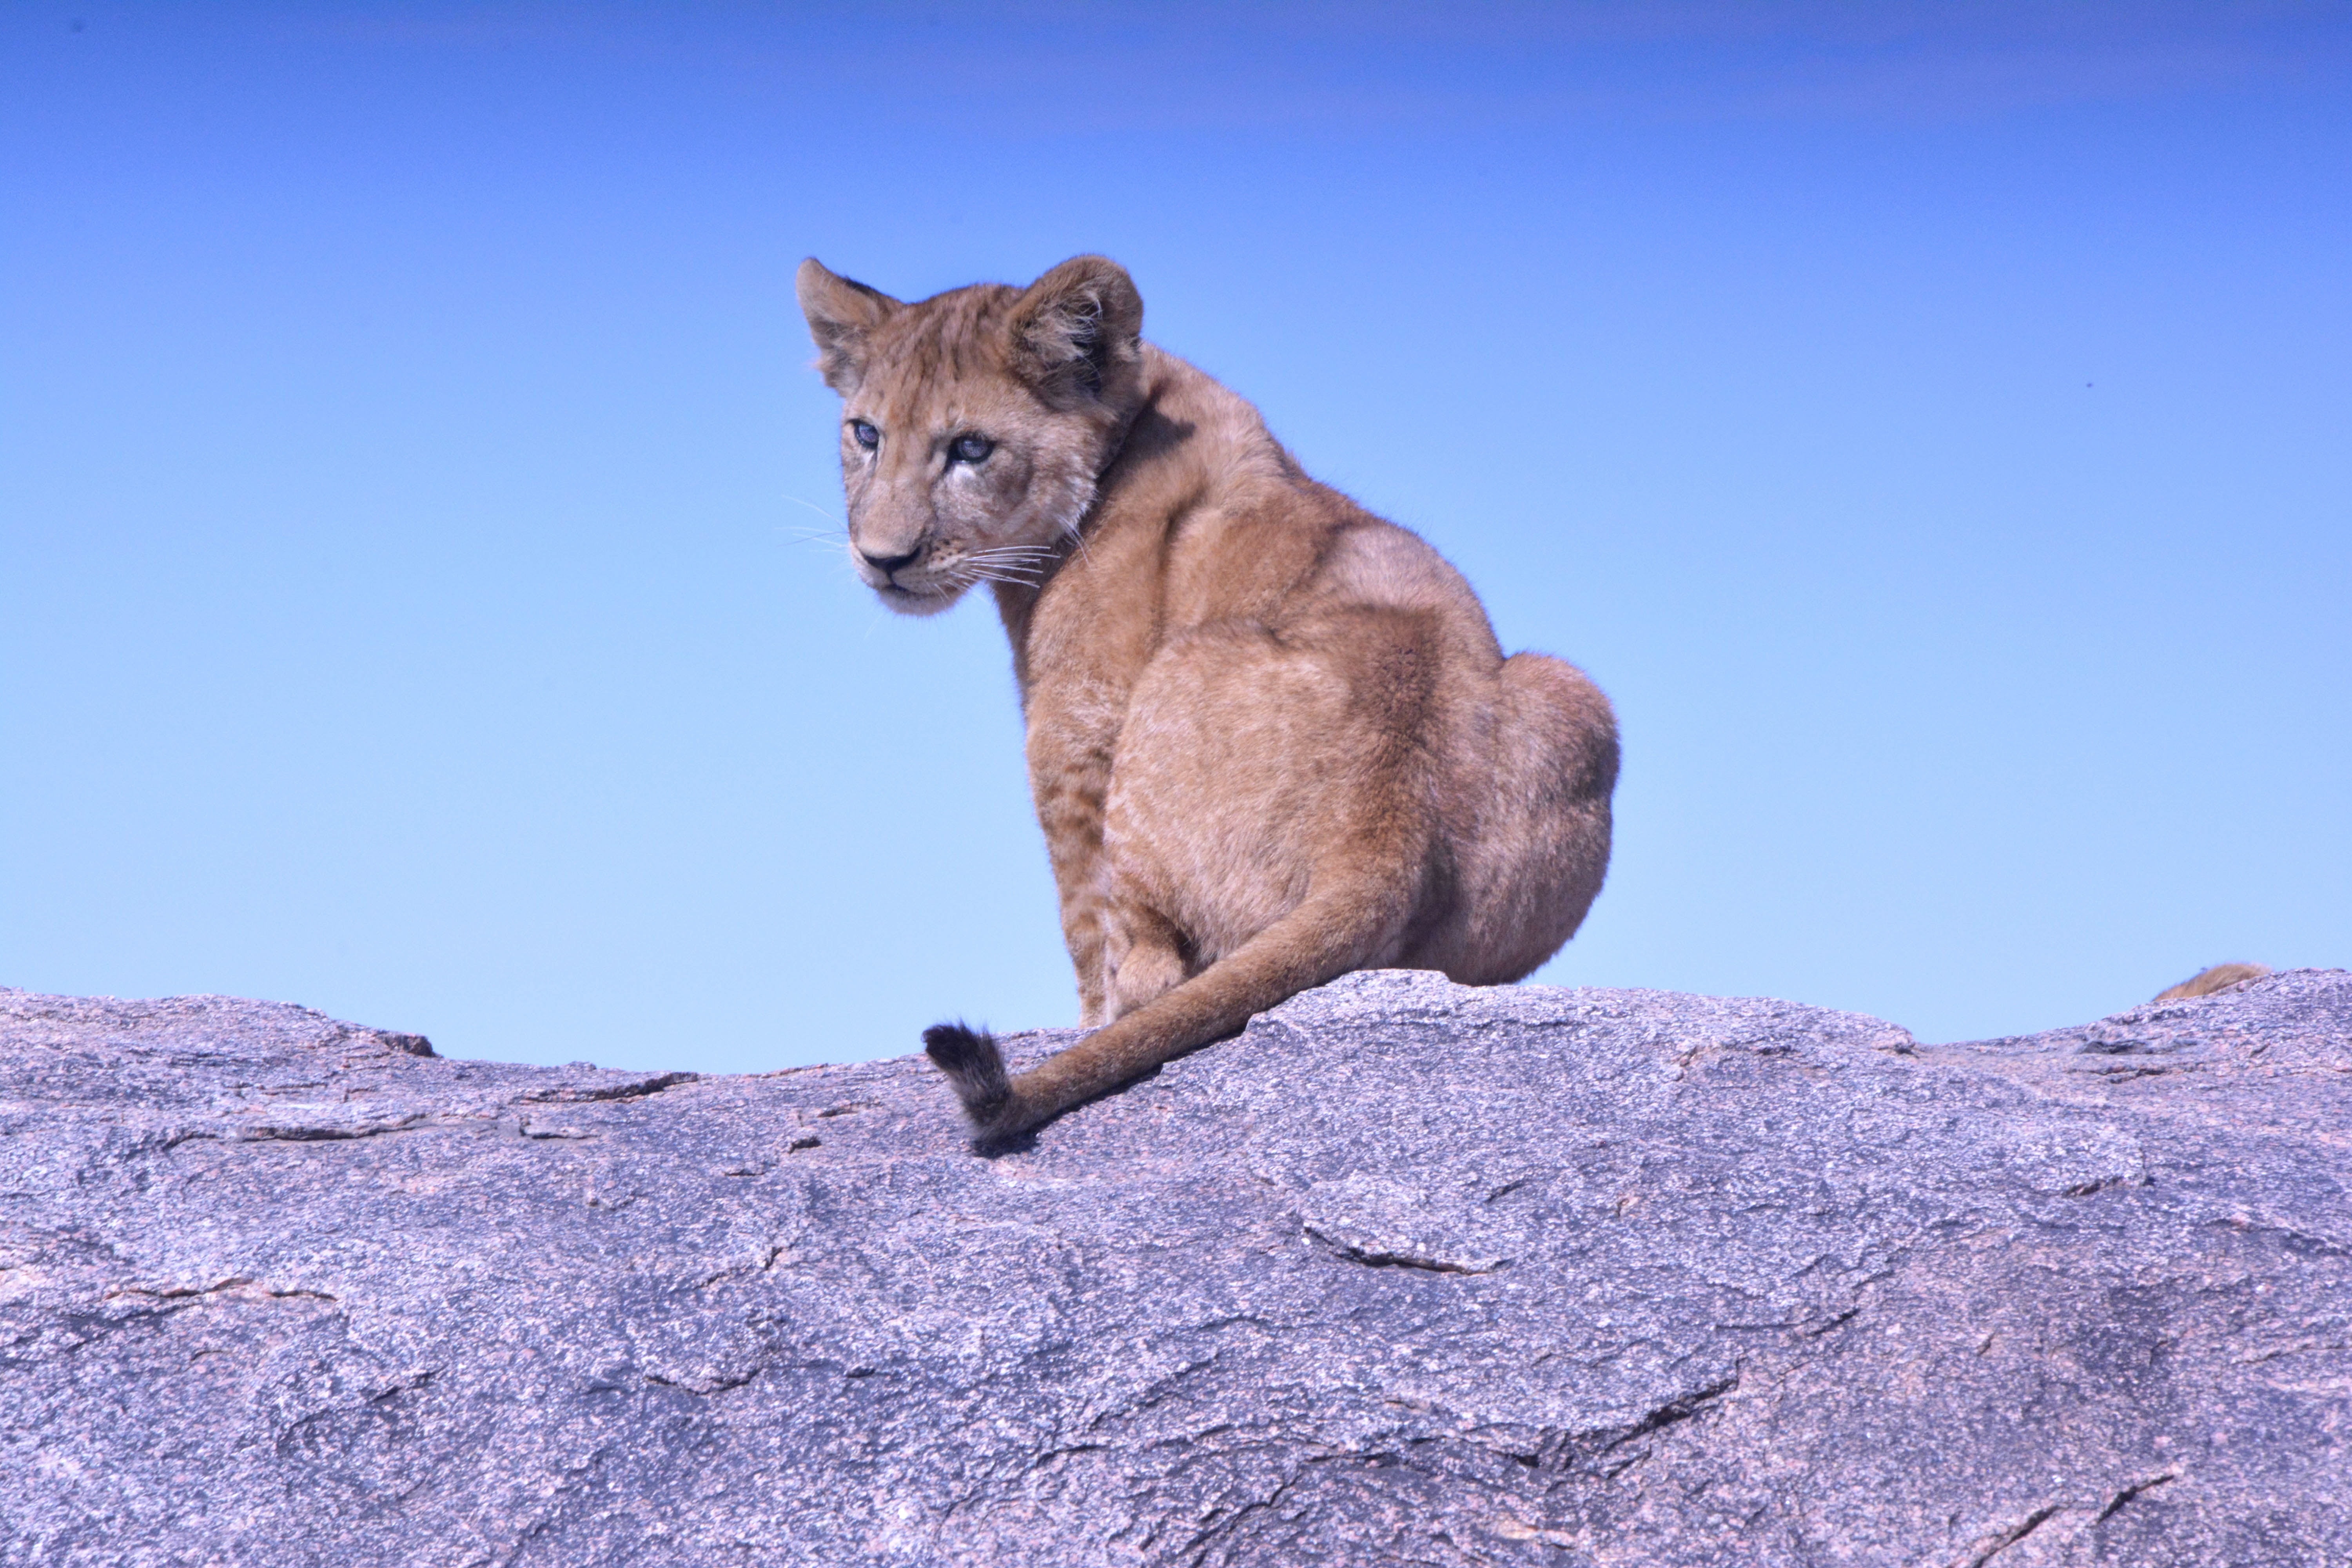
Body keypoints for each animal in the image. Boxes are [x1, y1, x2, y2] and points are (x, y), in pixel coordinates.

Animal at [796, 254, 1618, 1142]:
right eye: (866, 434)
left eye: (972, 448)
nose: (883, 558)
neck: (1135, 412)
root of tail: (1382, 839)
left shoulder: (1075, 733)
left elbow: (1088, 928)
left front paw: (1086, 1020)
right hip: (1574, 696)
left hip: (1177, 668)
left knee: (1154, 972)